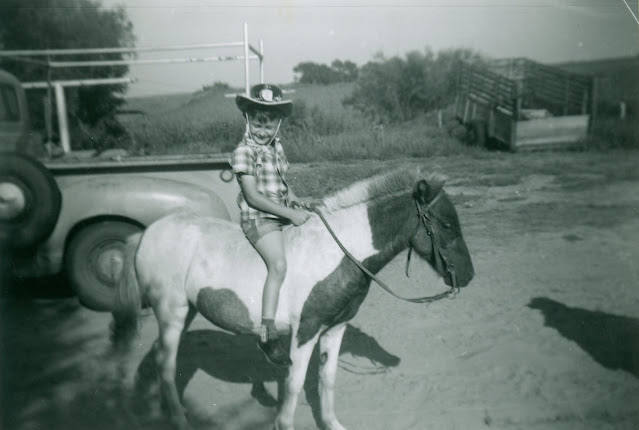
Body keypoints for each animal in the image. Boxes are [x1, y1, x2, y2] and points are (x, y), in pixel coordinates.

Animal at [111, 169, 476, 430]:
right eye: (446, 223)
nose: (469, 276)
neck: (337, 252)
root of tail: (146, 233)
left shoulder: (335, 328)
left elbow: (327, 379)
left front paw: (332, 423)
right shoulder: (305, 332)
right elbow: (295, 384)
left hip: (185, 311)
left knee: (162, 359)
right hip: (171, 311)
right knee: (166, 363)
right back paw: (179, 420)